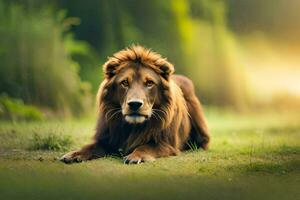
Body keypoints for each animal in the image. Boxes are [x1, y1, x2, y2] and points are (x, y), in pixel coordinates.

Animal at [59, 45, 210, 164]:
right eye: (125, 82)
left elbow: (146, 146)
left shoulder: (167, 144)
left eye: (149, 83)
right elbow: (90, 146)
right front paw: (74, 154)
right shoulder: (107, 139)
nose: (135, 104)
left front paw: (135, 156)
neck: (132, 127)